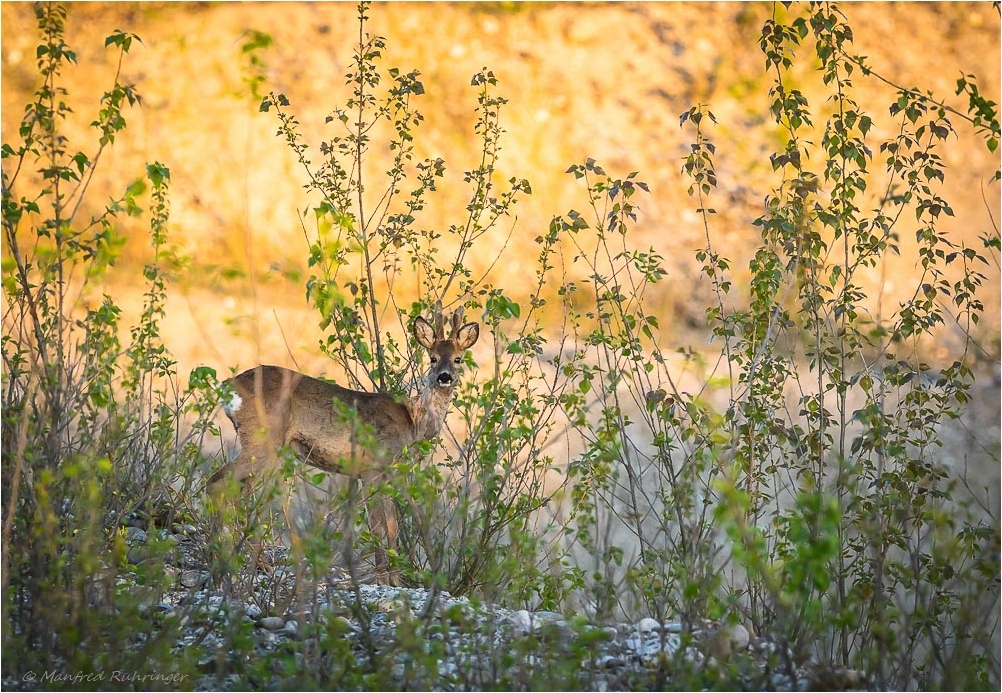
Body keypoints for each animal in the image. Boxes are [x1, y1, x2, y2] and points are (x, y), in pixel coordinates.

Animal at [205, 306, 478, 580]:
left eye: (458, 359)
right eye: (432, 358)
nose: (444, 377)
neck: (412, 421)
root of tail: (228, 387)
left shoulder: (387, 473)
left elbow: (392, 526)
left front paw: (394, 578)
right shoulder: (372, 468)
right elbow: (378, 527)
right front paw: (382, 576)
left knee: (239, 493)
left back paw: (253, 562)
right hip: (264, 439)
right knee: (217, 482)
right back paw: (221, 559)